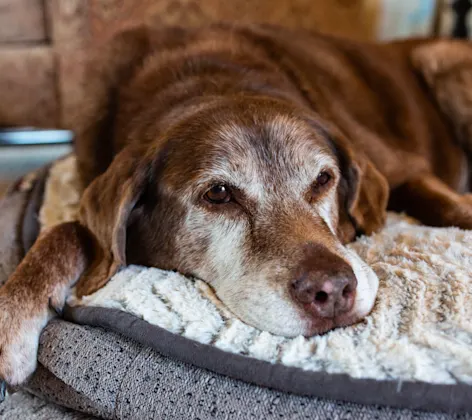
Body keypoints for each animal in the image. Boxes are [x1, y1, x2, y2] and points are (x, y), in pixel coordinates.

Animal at [0, 22, 472, 384]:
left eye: (324, 179)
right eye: (219, 194)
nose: (334, 291)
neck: (209, 79)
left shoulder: (404, 168)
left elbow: (447, 207)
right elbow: (68, 231)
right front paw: (13, 320)